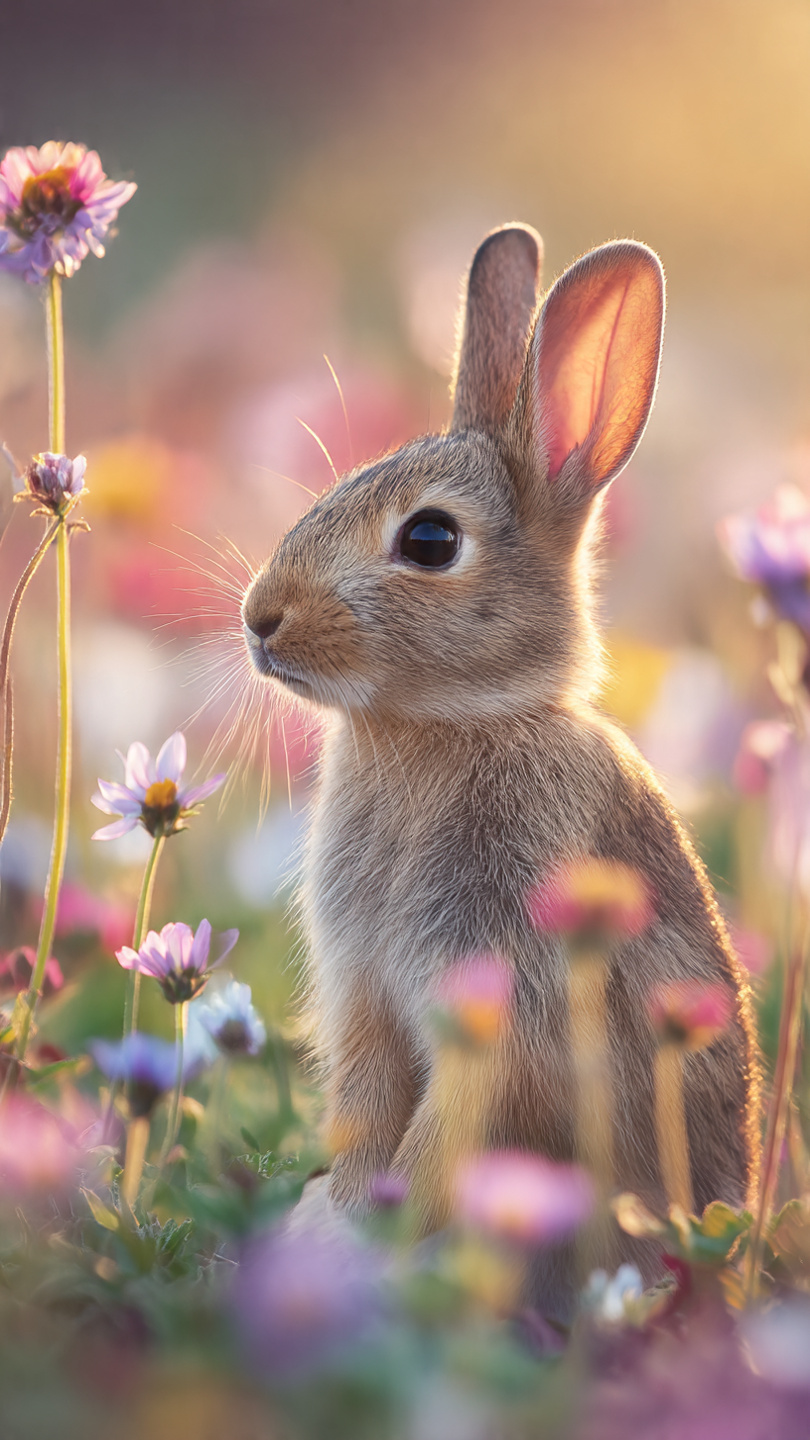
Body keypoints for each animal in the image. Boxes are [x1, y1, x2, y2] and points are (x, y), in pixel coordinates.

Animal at [241, 223, 760, 1315]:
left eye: (431, 539)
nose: (259, 617)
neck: (446, 724)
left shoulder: (507, 1000)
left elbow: (454, 1131)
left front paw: (378, 1249)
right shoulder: (368, 1006)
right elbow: (368, 1118)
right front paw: (342, 1239)